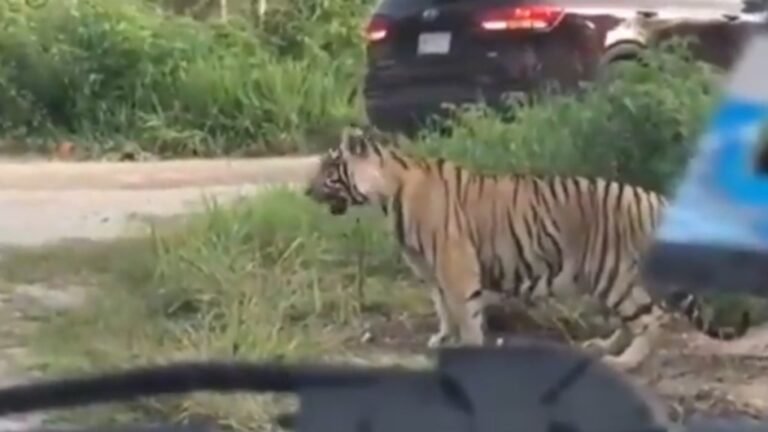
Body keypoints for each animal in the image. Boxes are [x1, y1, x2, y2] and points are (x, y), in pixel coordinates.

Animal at [304, 125, 752, 372]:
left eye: (329, 169)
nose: (305, 191)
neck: (389, 191)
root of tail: (660, 201)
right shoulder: (431, 270)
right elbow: (442, 307)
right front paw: (442, 338)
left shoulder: (454, 264)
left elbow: (464, 311)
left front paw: (468, 346)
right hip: (608, 277)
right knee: (634, 319)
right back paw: (603, 347)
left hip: (615, 272)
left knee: (652, 320)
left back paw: (624, 361)